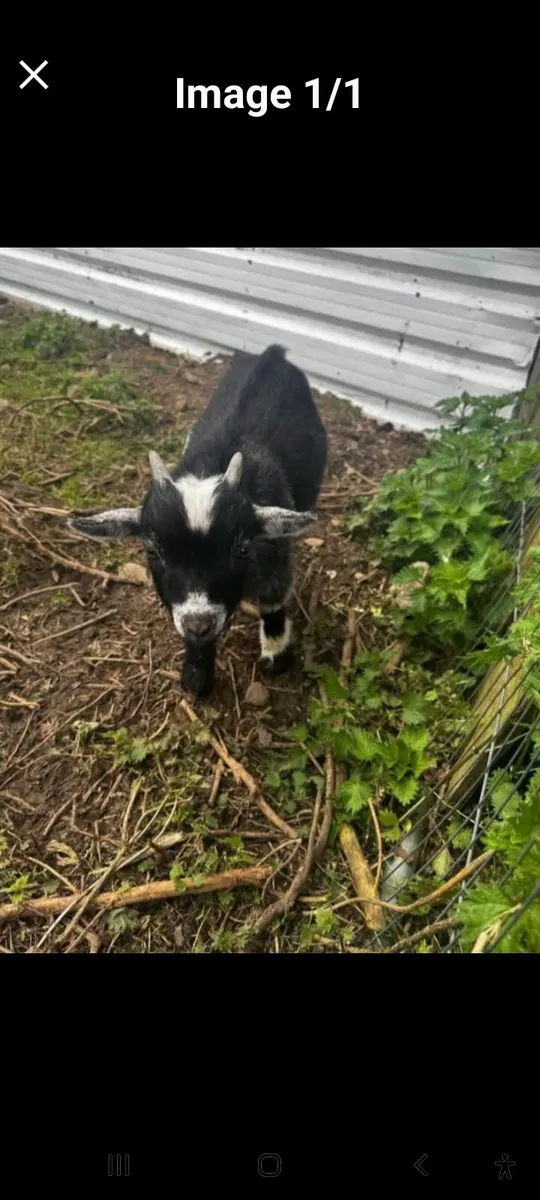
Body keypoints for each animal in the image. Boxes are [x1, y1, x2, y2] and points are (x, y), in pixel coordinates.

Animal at [68, 344, 328, 697]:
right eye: (152, 550)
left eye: (241, 548)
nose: (198, 623)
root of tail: (273, 354)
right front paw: (196, 674)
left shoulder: (276, 557)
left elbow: (273, 600)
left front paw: (275, 653)